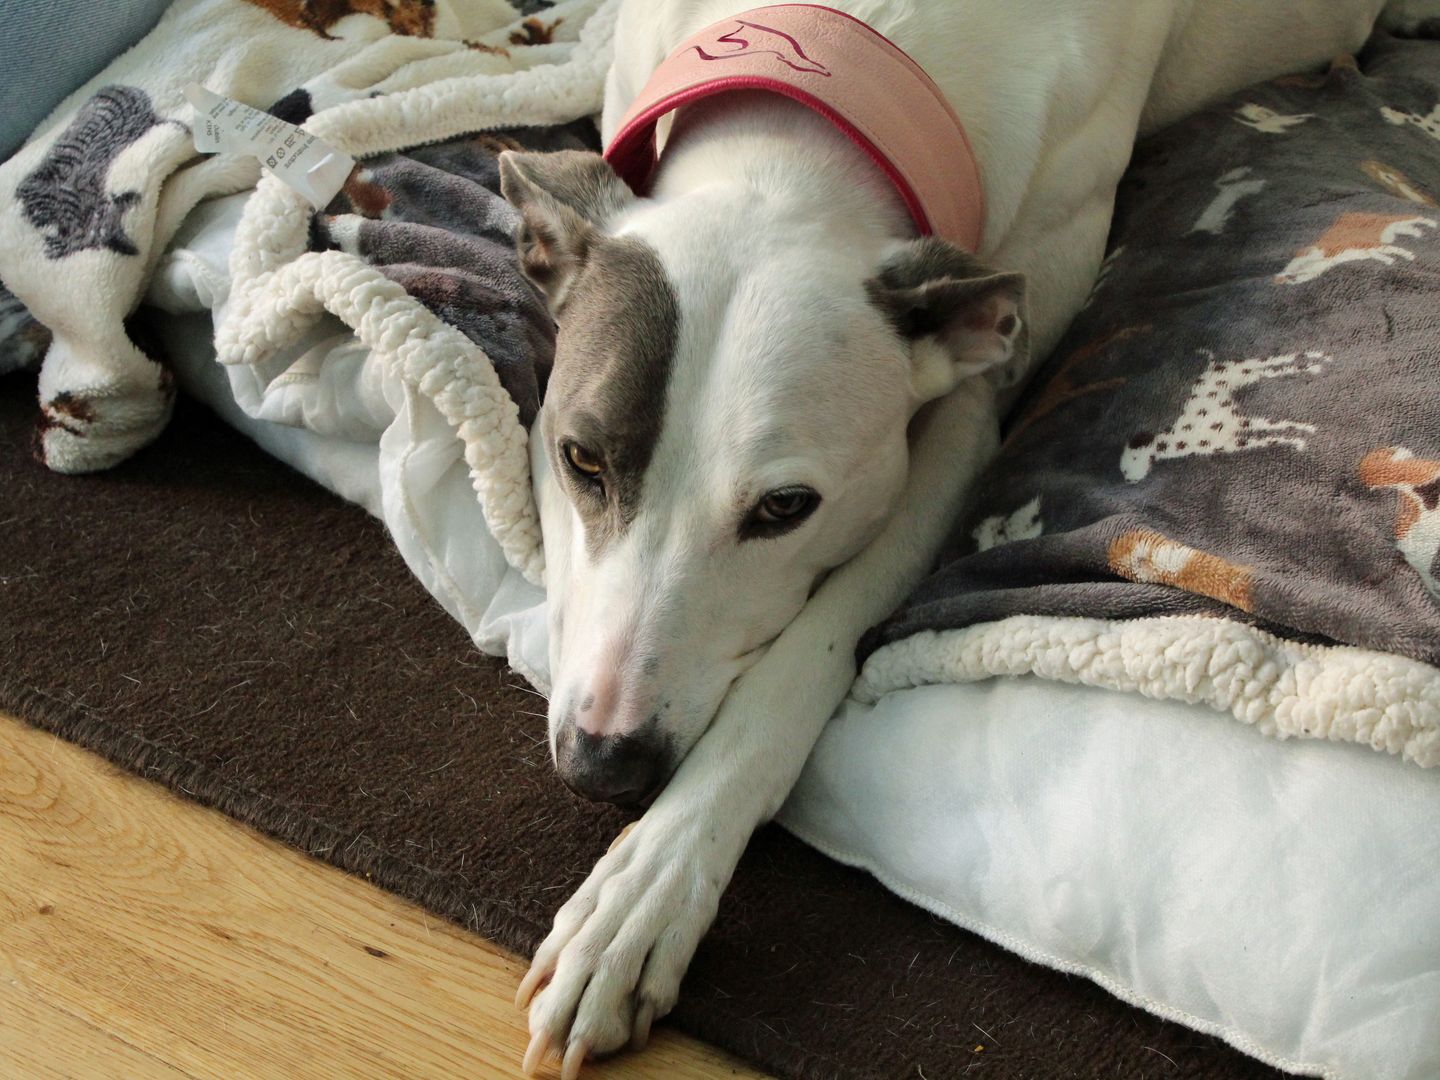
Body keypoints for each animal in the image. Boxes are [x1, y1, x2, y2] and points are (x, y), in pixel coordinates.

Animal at [495, 0, 1416, 1077]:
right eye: (580, 458)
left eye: (785, 509)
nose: (604, 765)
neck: (804, 126)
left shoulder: (965, 421)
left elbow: (800, 664)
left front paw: (645, 894)